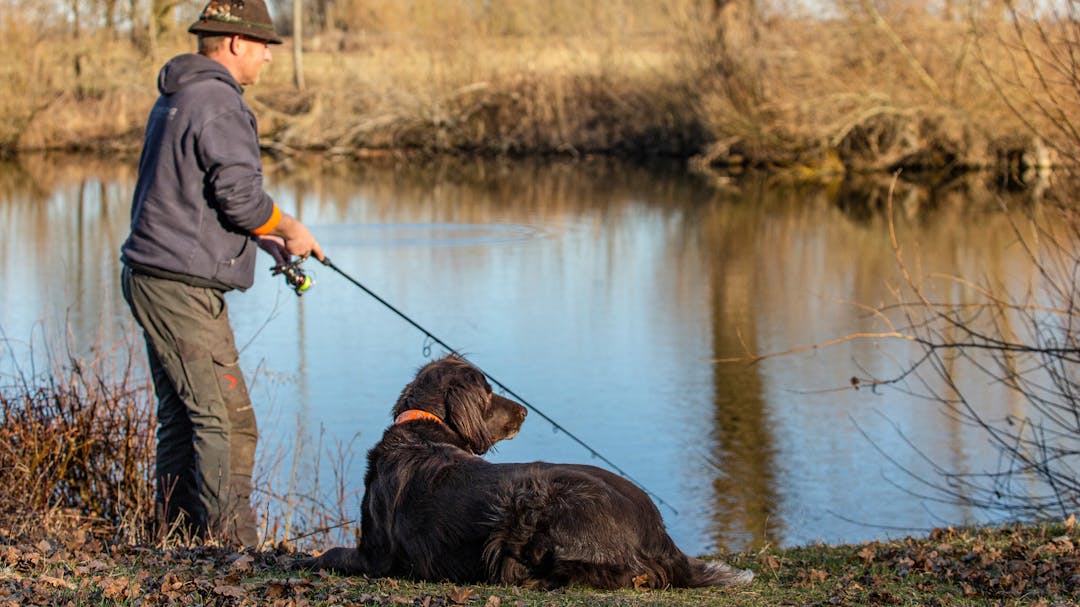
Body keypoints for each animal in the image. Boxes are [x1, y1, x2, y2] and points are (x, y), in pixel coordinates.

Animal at [300, 354, 756, 587]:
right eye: (488, 393)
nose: (523, 411)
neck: (423, 428)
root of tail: (660, 535)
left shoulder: (376, 554)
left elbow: (330, 553)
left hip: (526, 505)